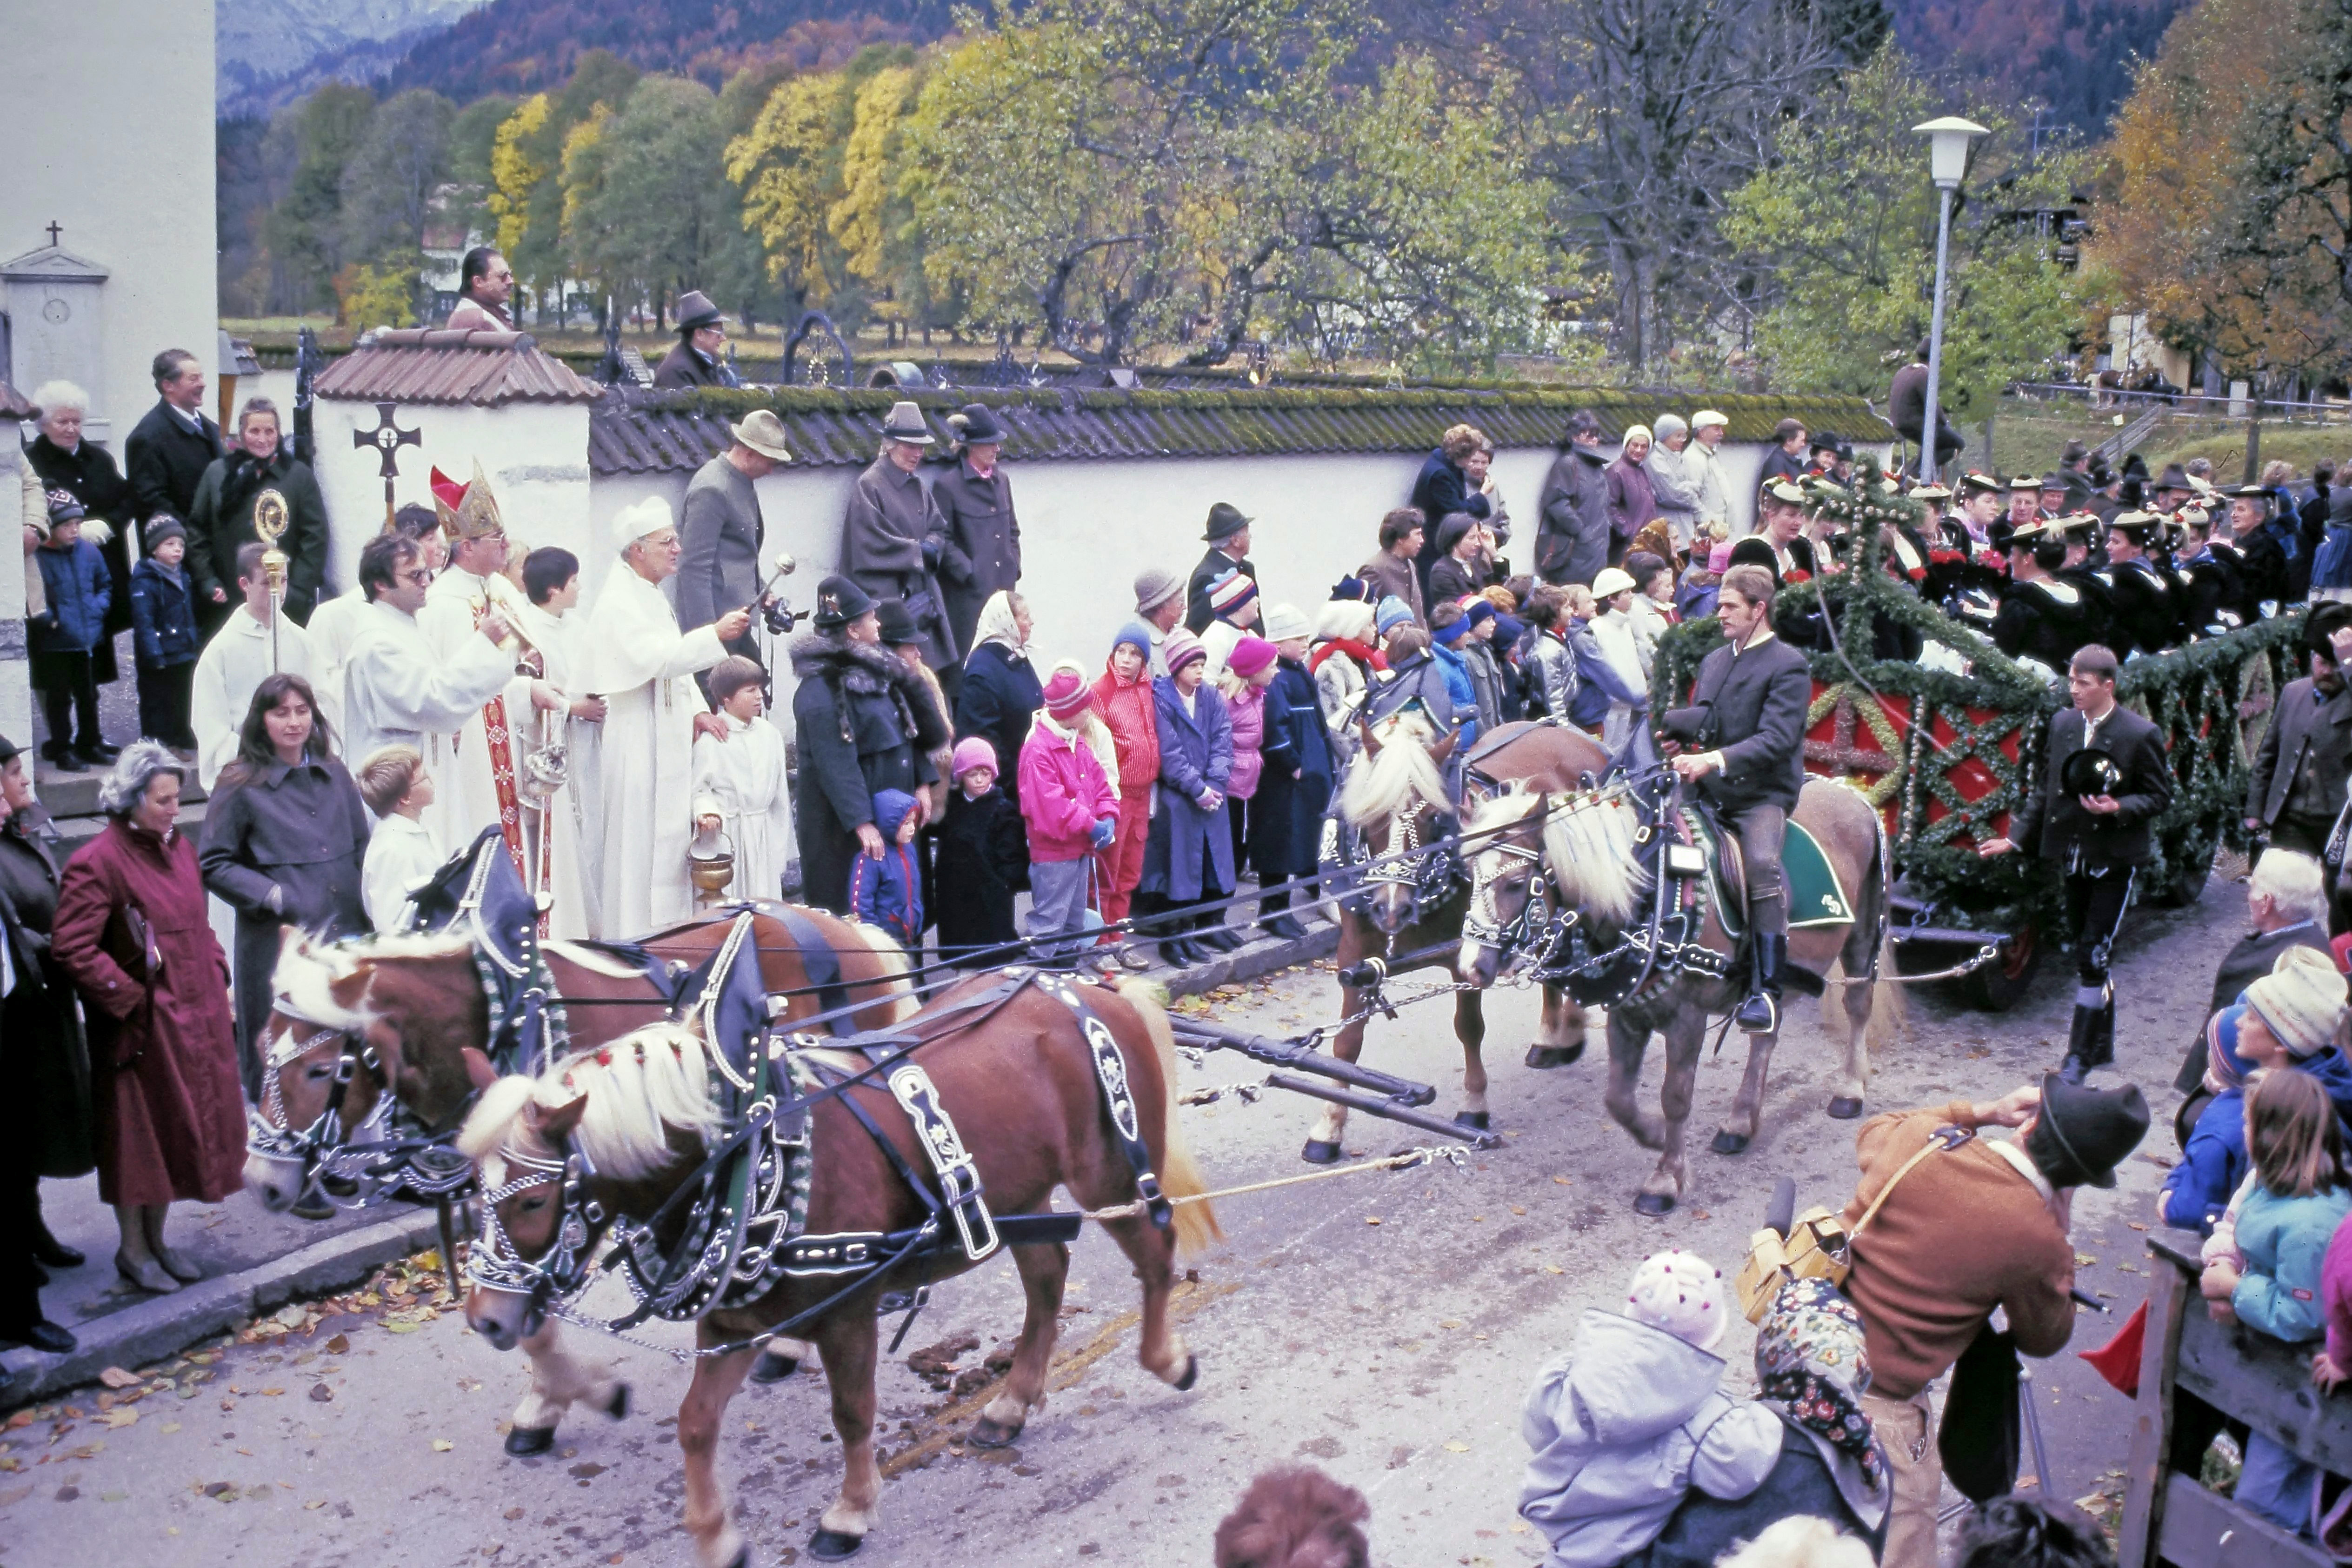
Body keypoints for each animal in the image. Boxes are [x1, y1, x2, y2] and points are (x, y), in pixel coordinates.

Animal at [248, 907, 917, 1457]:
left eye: (318, 1068)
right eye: (257, 1045)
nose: (261, 1181)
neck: (492, 1011)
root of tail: (853, 930)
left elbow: (535, 1305)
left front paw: (573, 1396)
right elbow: (515, 1288)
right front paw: (549, 1400)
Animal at [1307, 714, 1618, 1166]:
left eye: (1431, 817)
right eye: (1373, 815)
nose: (1391, 909)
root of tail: (1564, 729)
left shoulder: (1466, 954)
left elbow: (1469, 1028)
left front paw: (1474, 1106)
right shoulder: (1355, 955)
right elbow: (1347, 1043)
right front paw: (1328, 1127)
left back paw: (1563, 1034)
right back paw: (1550, 1038)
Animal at [1458, 780, 1900, 1222]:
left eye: (1516, 882)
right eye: (1470, 876)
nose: (1469, 967)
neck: (1651, 897)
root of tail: (1850, 792)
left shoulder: (1687, 1018)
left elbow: (1674, 1098)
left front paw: (1665, 1179)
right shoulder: (1626, 1010)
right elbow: (1618, 1098)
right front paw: (1654, 1136)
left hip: (1863, 933)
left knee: (1857, 1006)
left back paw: (1849, 1090)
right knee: (1765, 1034)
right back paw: (1739, 1123)